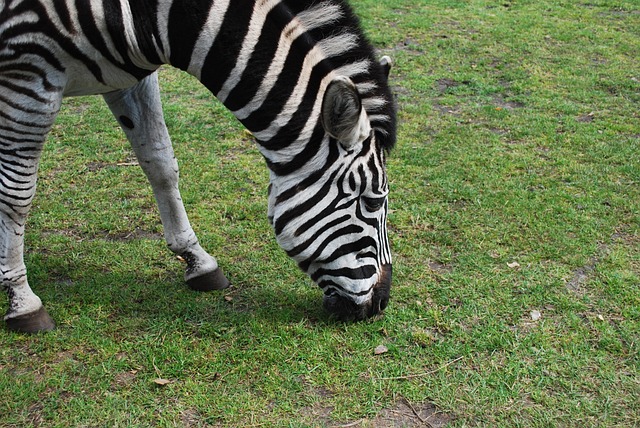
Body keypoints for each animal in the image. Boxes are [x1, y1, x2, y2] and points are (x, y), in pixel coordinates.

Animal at [0, 0, 396, 332]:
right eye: (373, 202)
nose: (381, 304)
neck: (155, 15)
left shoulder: (129, 77)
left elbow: (160, 163)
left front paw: (198, 261)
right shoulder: (27, 77)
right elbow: (16, 196)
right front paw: (22, 301)